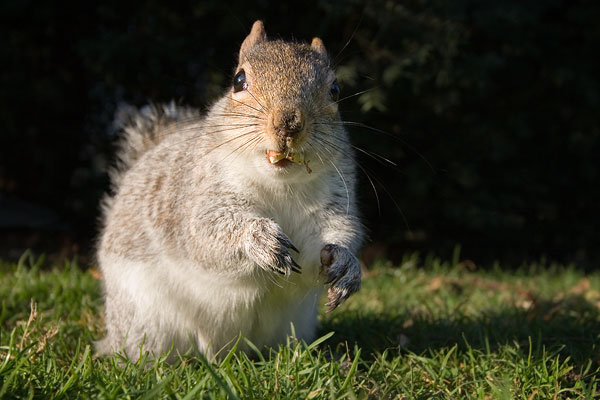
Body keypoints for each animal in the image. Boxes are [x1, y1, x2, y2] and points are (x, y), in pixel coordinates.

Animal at [96, 20, 364, 360]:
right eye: (239, 81)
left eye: (335, 90)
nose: (288, 123)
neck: (281, 184)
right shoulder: (199, 196)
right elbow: (205, 232)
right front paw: (259, 238)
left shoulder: (332, 203)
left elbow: (337, 233)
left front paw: (346, 263)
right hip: (145, 321)